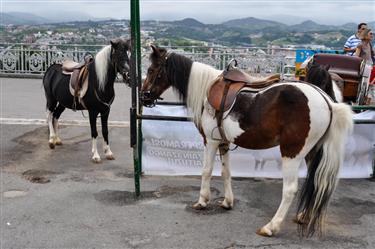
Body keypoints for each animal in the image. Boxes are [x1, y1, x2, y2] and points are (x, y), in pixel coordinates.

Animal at [142, 46, 356, 237]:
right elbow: (226, 172)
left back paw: (271, 227)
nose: (144, 96)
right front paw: (227, 202)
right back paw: (304, 216)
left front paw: (202, 201)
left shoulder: (210, 141)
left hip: (291, 153)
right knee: (316, 183)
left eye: (151, 70)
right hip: (312, 152)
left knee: (290, 189)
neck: (206, 88)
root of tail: (328, 102)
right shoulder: (223, 142)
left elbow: (206, 171)